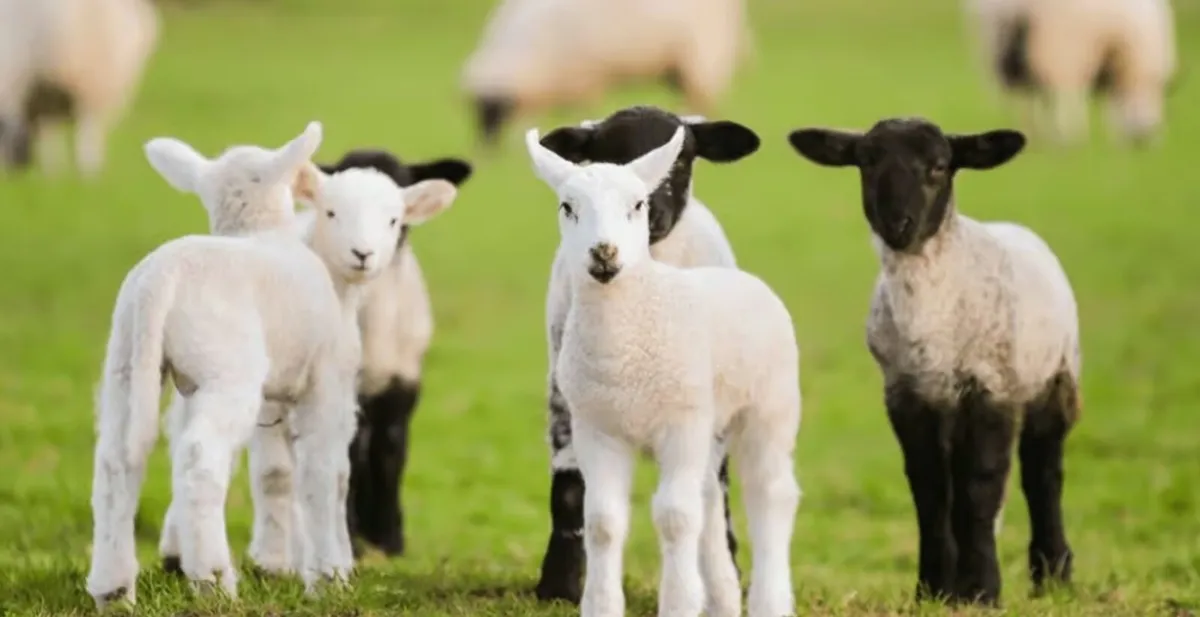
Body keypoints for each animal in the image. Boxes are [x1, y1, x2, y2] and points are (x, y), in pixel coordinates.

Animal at [315, 149, 474, 558]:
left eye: (396, 215)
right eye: (336, 209)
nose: (363, 252)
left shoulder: (403, 384)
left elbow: (392, 451)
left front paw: (389, 537)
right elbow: (351, 457)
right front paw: (352, 537)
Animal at [460, 0, 751, 146]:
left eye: (496, 110)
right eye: (476, 112)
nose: (486, 150)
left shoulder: (585, 79)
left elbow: (583, 110)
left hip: (704, 53)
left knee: (701, 97)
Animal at [526, 125, 802, 617]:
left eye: (637, 204)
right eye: (567, 206)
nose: (604, 252)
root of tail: (744, 278)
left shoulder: (680, 424)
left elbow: (674, 518)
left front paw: (678, 602)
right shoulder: (598, 429)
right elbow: (603, 521)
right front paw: (601, 605)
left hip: (770, 408)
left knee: (770, 495)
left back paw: (769, 599)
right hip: (709, 426)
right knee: (709, 495)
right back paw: (723, 598)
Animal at [787, 117, 1081, 606]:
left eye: (940, 166)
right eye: (866, 161)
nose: (898, 224)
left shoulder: (991, 388)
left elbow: (980, 486)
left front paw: (982, 591)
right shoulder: (906, 394)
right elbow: (928, 490)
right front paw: (934, 589)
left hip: (1056, 378)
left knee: (1043, 474)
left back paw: (1053, 575)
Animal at [964, 0, 1177, 146]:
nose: (1144, 140)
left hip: (1001, 44)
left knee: (1027, 93)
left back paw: (1033, 133)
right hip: (1059, 45)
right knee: (1062, 91)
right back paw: (1068, 136)